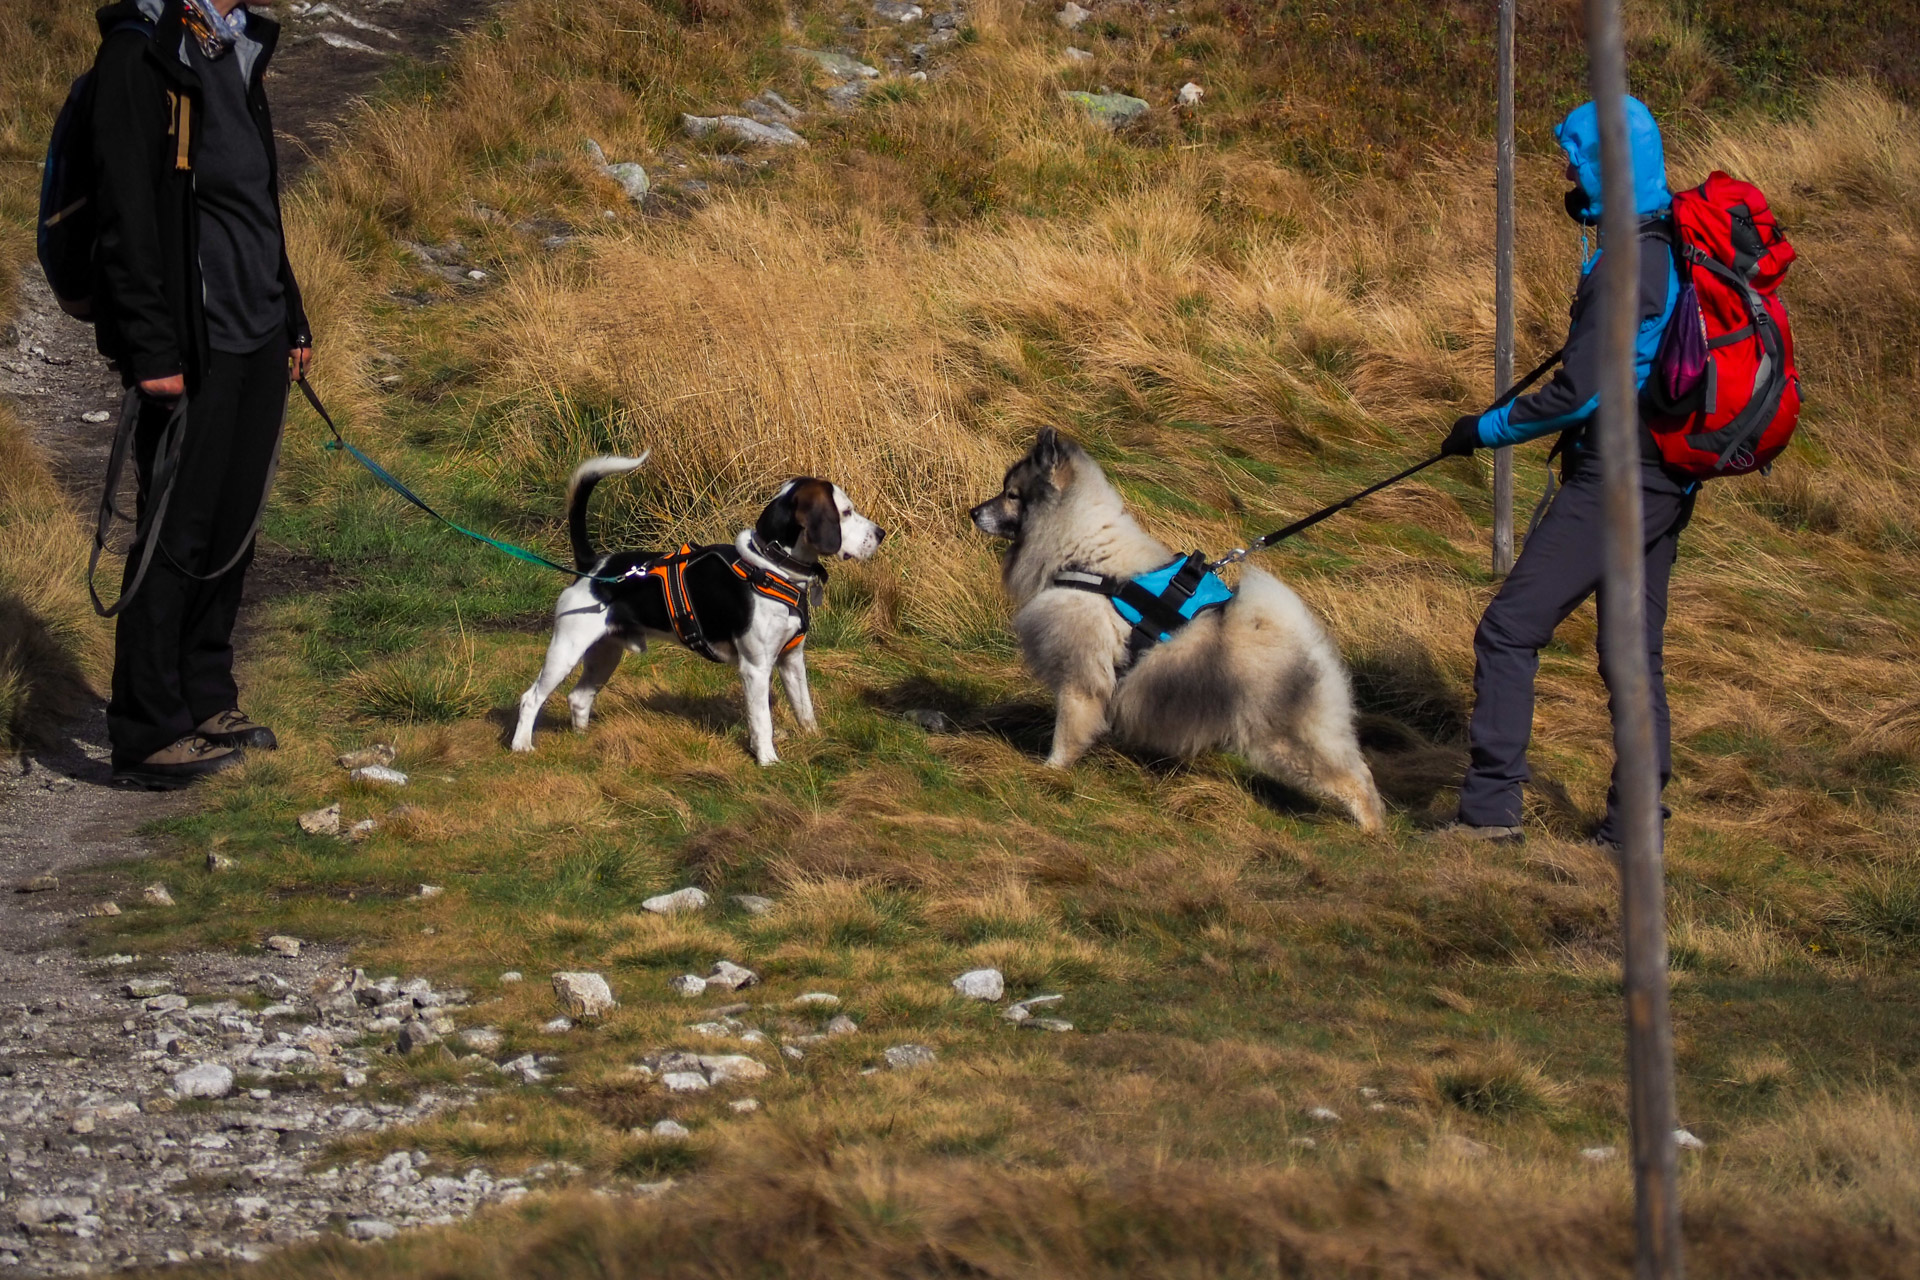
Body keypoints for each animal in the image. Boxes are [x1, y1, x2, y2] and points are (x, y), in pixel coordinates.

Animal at [510, 458, 883, 767]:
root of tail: (593, 566)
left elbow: (804, 709)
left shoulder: (791, 660)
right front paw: (767, 760)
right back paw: (521, 746)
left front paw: (816, 740)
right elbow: (762, 720)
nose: (880, 534)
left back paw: (583, 739)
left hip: (605, 654)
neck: (773, 567)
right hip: (566, 649)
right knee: (531, 698)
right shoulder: (756, 668)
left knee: (578, 697)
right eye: (845, 512)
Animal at [967, 429, 1390, 832]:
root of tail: (1309, 646)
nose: (973, 512)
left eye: (1011, 495)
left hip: (1289, 740)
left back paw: (1370, 831)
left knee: (1355, 779)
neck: (1083, 555)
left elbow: (1066, 732)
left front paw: (1050, 771)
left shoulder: (1079, 679)